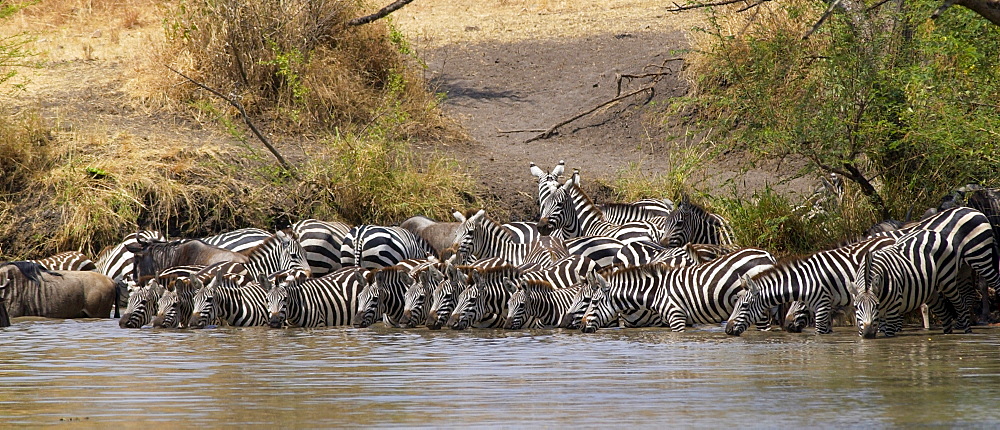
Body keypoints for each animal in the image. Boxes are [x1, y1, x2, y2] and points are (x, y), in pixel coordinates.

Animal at [720, 235, 900, 336]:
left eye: (744, 305)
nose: (727, 330)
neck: (806, 281)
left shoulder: (822, 305)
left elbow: (820, 334)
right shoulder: (827, 308)